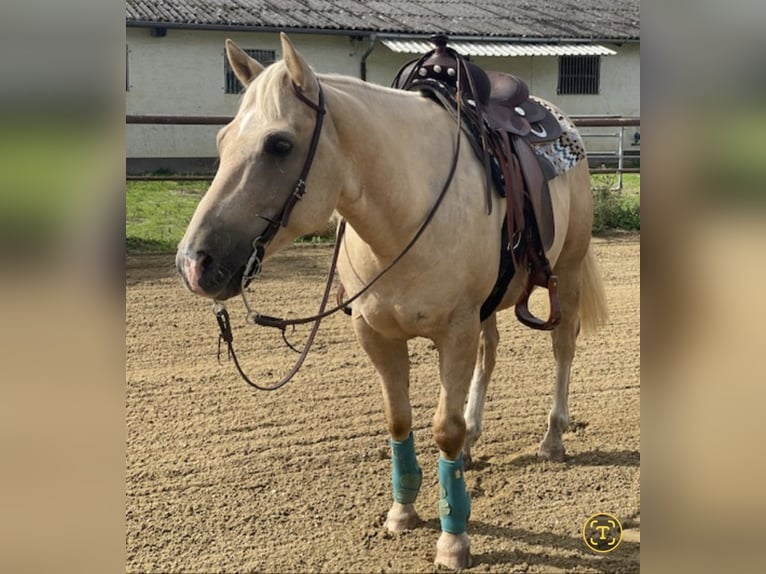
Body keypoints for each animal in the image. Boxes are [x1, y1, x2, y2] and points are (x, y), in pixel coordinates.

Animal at [177, 35, 608, 572]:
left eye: (279, 144)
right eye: (222, 141)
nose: (193, 262)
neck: (406, 213)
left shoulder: (455, 331)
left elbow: (443, 429)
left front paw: (453, 537)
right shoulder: (376, 333)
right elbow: (398, 420)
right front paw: (403, 511)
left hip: (565, 272)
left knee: (563, 346)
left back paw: (552, 438)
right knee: (490, 353)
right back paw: (476, 439)